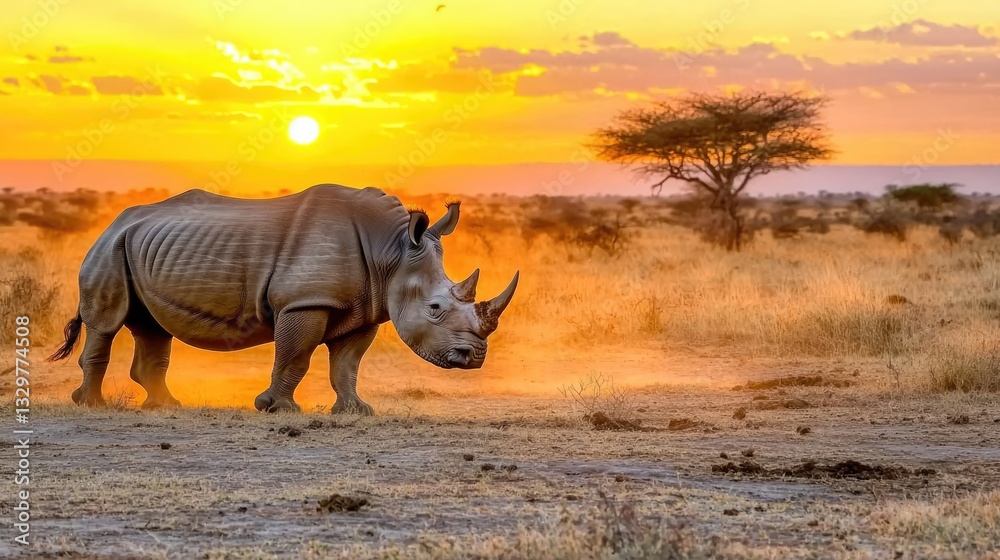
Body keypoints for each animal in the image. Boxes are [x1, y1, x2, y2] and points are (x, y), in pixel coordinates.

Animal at [49, 184, 518, 414]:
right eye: (436, 309)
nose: (474, 358)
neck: (392, 251)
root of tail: (115, 221)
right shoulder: (304, 301)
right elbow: (295, 356)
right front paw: (277, 409)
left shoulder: (365, 309)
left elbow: (346, 365)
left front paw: (355, 411)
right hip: (110, 246)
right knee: (107, 324)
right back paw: (91, 405)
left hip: (142, 245)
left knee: (151, 327)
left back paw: (165, 406)